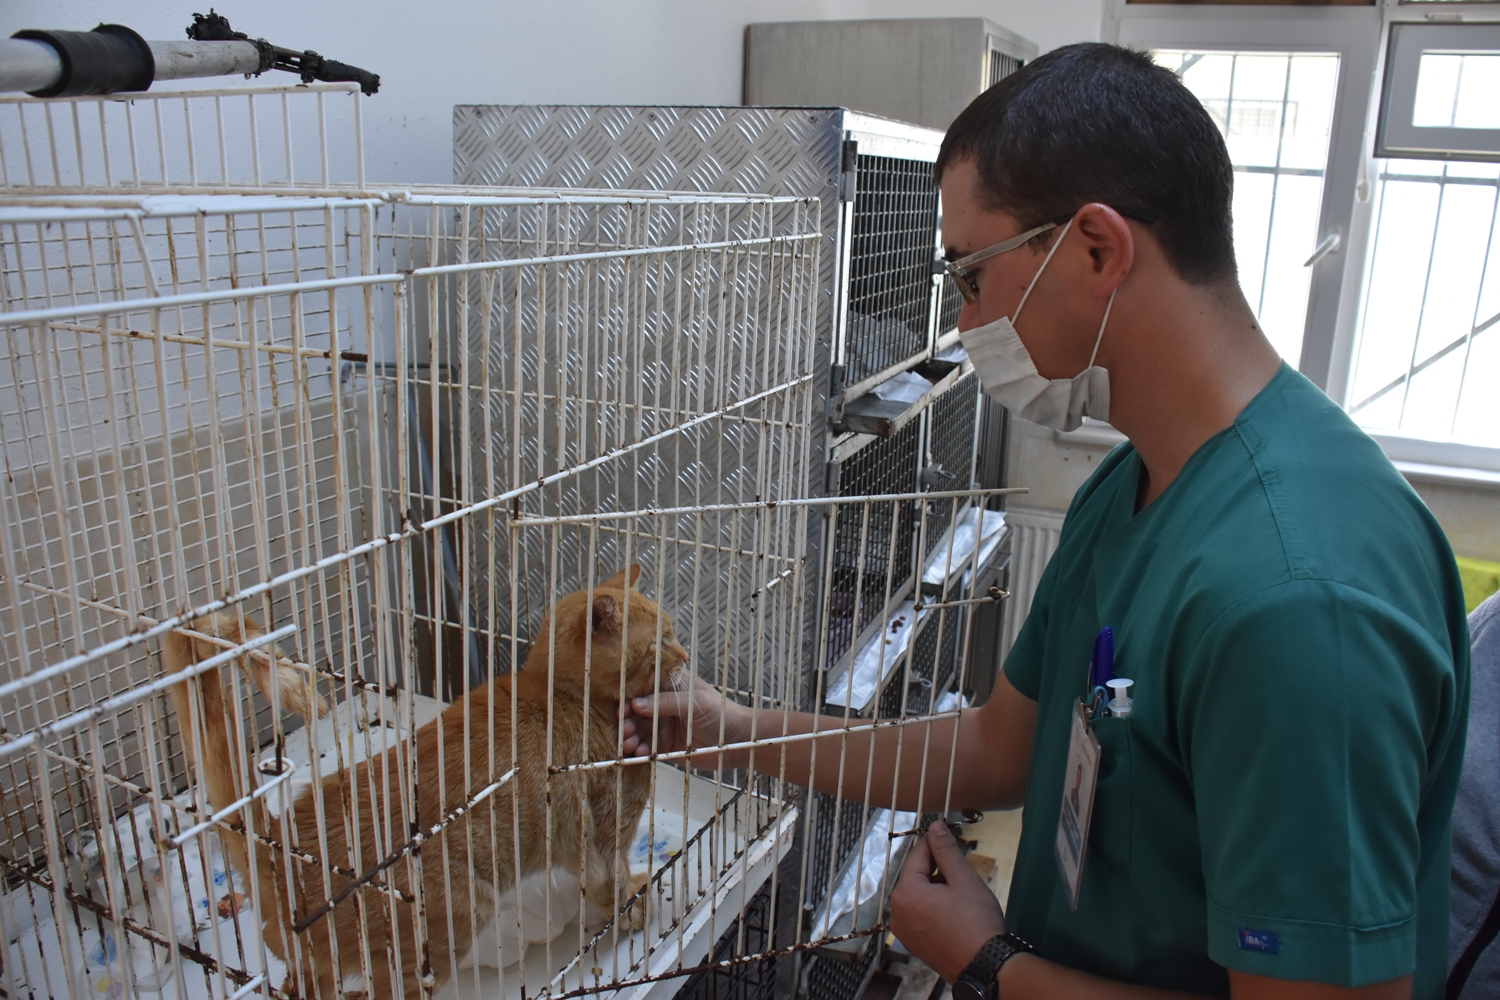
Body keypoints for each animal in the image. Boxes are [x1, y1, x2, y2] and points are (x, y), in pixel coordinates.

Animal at [161, 566, 687, 995]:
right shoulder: (602, 837)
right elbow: (610, 885)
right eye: (662, 639)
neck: (566, 696)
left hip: (319, 961)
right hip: (453, 920)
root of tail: (278, 846)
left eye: (673, 631)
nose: (685, 653)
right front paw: (635, 904)